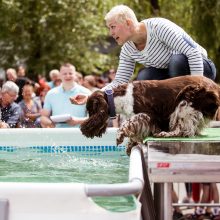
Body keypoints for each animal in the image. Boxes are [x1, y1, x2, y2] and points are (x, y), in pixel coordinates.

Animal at [80, 75, 220, 155]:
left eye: (90, 110)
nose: (82, 129)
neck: (120, 97)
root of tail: (215, 86)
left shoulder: (147, 115)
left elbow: (127, 124)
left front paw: (120, 137)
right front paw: (130, 145)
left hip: (186, 103)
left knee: (183, 130)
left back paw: (164, 134)